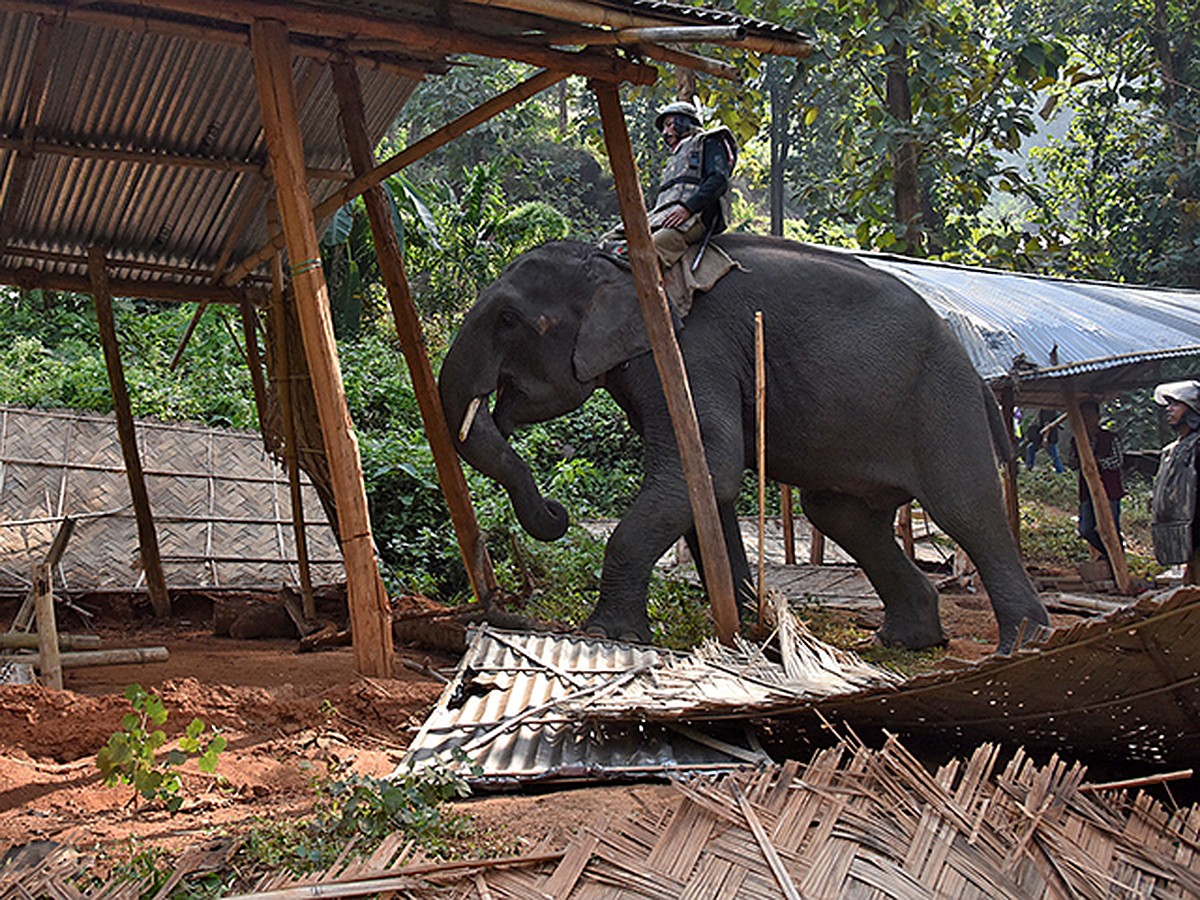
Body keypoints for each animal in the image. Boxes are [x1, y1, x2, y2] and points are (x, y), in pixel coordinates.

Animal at [436, 236, 1046, 652]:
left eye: (508, 318)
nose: (557, 512)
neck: (614, 263)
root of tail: (976, 370)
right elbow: (707, 486)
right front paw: (752, 632)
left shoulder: (688, 353)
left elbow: (710, 463)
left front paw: (610, 637)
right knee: (839, 514)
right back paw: (906, 642)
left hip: (943, 401)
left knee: (965, 509)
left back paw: (1021, 647)